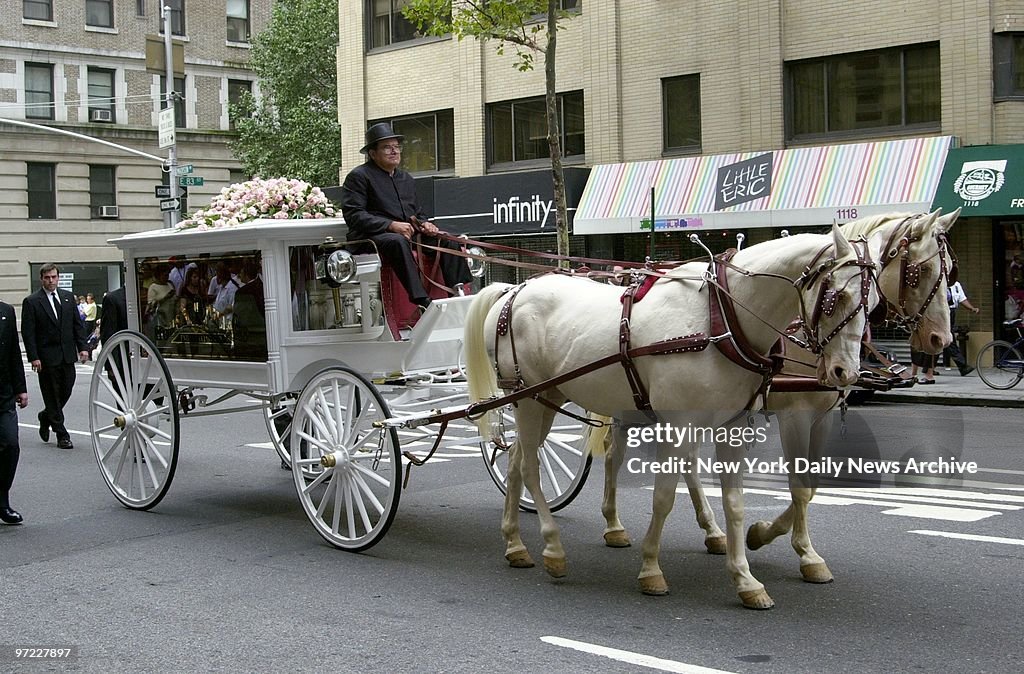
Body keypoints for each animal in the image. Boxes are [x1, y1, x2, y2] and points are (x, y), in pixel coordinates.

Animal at [464, 225, 872, 610]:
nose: (845, 373)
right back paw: (552, 548)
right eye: (837, 297)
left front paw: (746, 579)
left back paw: (515, 543)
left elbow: (735, 504)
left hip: (546, 397)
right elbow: (663, 498)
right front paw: (650, 569)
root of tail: (514, 290)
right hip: (528, 397)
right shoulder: (682, 426)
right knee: (529, 466)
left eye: (870, 303)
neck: (721, 320)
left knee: (516, 461)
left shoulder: (734, 427)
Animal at [593, 208, 958, 590]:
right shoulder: (795, 414)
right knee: (615, 455)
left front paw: (769, 537)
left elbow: (811, 485)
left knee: (676, 461)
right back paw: (614, 524)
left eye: (950, 270)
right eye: (920, 271)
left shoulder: (822, 415)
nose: (941, 339)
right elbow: (798, 487)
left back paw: (710, 531)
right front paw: (792, 548)